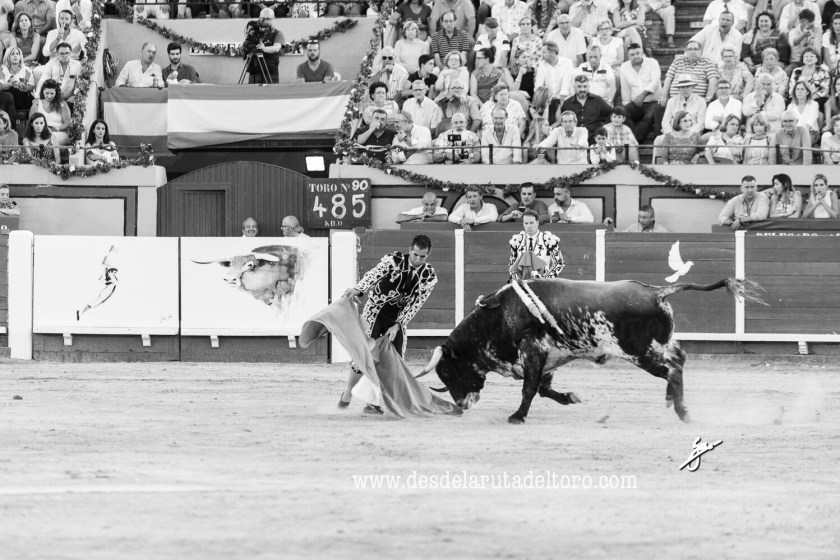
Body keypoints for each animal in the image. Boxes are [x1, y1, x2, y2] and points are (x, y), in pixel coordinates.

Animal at [419, 278, 766, 424]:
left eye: (447, 372)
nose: (460, 406)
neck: (500, 315)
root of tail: (657, 292)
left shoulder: (534, 351)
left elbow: (529, 388)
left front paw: (517, 416)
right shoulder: (548, 357)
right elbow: (542, 388)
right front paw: (570, 398)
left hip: (639, 352)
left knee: (674, 369)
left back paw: (683, 412)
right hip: (660, 345)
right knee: (679, 360)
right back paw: (672, 401)